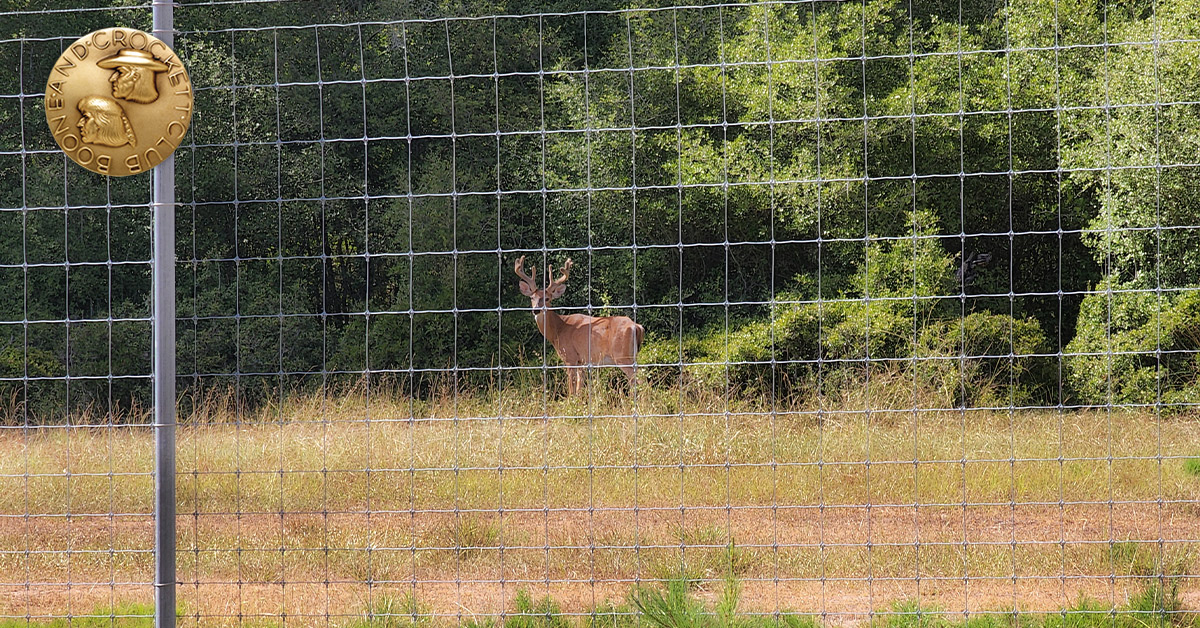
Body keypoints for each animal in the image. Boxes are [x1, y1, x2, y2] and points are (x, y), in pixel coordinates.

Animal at [514, 255, 645, 396]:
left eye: (548, 298)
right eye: (532, 297)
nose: (536, 310)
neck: (558, 330)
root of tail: (637, 326)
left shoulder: (570, 357)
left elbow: (571, 390)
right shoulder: (581, 361)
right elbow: (579, 388)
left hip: (622, 356)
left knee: (640, 380)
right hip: (632, 355)